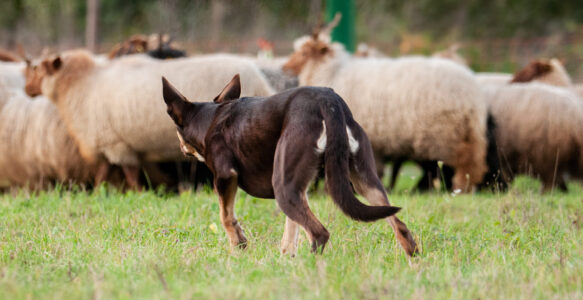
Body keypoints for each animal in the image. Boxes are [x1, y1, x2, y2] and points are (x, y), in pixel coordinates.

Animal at [162, 74, 418, 255]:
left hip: (283, 187)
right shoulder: (301, 189)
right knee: (402, 228)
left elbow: (225, 217)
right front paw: (285, 257)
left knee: (319, 234)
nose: (180, 148)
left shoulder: (225, 176)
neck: (209, 119)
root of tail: (328, 100)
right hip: (364, 181)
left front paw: (239, 245)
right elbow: (291, 231)